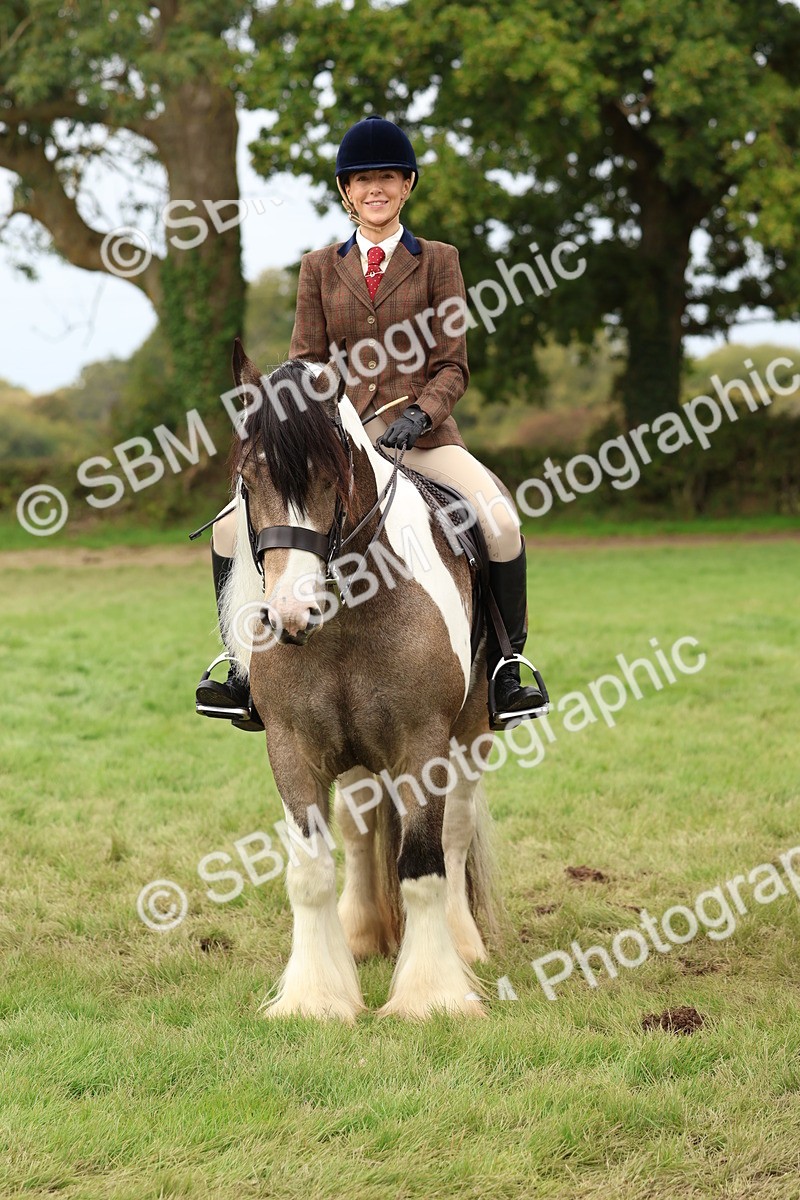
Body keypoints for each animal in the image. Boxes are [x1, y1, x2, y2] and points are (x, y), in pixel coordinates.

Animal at [220, 341, 500, 1021]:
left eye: (334, 476)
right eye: (249, 481)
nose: (291, 613)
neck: (348, 613)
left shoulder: (424, 743)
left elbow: (424, 866)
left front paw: (432, 996)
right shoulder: (292, 745)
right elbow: (311, 871)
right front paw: (316, 998)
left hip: (471, 730)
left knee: (454, 831)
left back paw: (462, 943)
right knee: (358, 829)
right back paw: (362, 932)